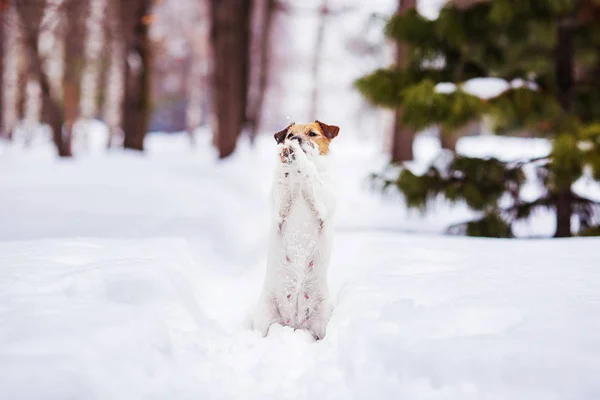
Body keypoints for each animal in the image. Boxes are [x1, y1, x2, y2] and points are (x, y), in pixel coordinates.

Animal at [251, 120, 340, 340]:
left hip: (321, 322)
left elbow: (313, 176)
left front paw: (299, 158)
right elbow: (282, 183)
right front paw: (284, 156)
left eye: (312, 133)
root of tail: (294, 324)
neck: (298, 181)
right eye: (290, 134)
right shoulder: (279, 211)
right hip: (265, 318)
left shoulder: (323, 204)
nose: (294, 140)